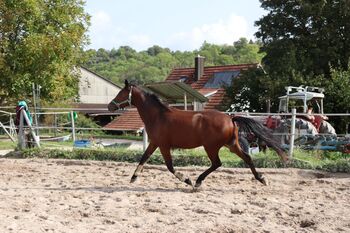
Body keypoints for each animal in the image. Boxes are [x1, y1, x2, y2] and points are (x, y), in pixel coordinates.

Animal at [108, 79, 288, 187]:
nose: (110, 106)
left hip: (211, 147)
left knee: (217, 163)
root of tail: (230, 118)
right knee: (247, 158)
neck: (158, 115)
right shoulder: (154, 143)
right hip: (231, 145)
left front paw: (186, 179)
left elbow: (170, 166)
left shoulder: (164, 145)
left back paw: (197, 181)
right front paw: (133, 177)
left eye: (121, 93)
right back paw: (262, 179)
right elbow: (143, 158)